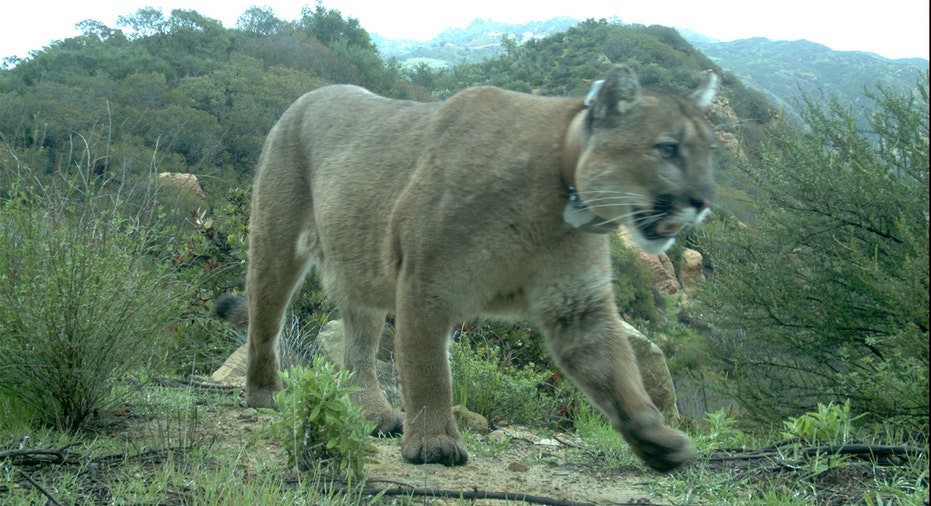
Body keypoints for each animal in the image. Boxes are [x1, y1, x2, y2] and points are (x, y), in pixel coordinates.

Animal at [215, 65, 716, 472]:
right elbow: (429, 370)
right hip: (277, 242)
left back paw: (373, 412)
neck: (556, 199)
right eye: (668, 148)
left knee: (358, 343)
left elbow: (616, 372)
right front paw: (434, 443)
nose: (702, 199)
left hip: (360, 264)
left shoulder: (577, 304)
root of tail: (303, 98)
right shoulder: (426, 284)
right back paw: (266, 392)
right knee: (264, 319)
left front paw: (656, 439)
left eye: (708, 152)